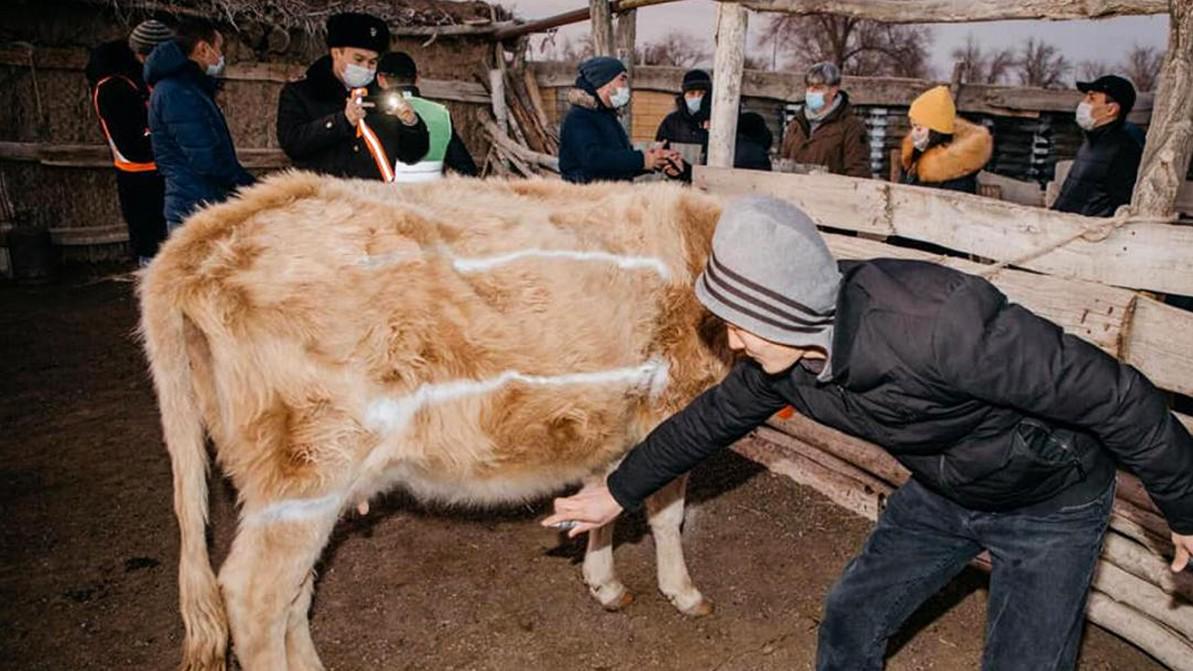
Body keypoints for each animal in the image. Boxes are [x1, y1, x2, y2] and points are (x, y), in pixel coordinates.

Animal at [140, 169, 734, 663]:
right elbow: (665, 514)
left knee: (293, 594)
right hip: (306, 472)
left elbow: (604, 493)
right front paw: (684, 592)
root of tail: (226, 218)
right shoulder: (669, 407)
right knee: (255, 596)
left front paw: (603, 582)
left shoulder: (612, 418)